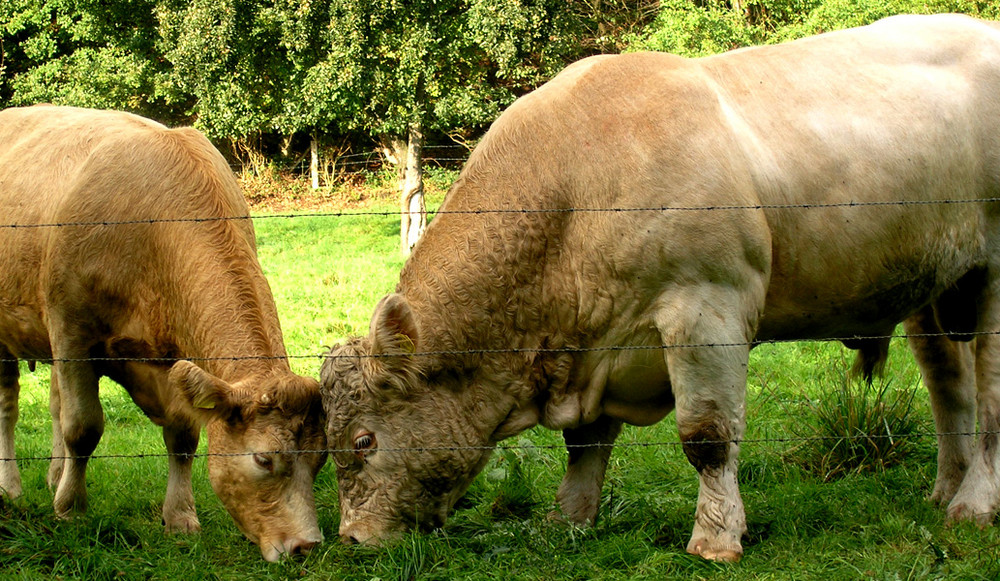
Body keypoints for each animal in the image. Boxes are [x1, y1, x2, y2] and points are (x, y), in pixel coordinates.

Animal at [0, 106, 328, 560]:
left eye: (321, 459)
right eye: (264, 459)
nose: (306, 545)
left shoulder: (173, 358)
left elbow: (183, 434)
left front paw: (180, 517)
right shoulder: (72, 332)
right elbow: (82, 427)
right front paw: (70, 509)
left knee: (52, 404)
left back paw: (53, 475)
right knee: (9, 407)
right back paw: (11, 487)